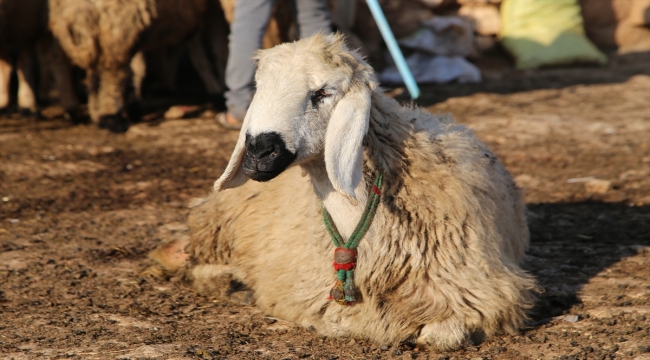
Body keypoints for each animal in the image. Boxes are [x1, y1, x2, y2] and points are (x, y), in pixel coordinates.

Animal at [153, 33, 536, 348]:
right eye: (259, 89)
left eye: (323, 93)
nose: (259, 151)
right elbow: (338, 320)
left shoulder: (481, 293)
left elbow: (441, 336)